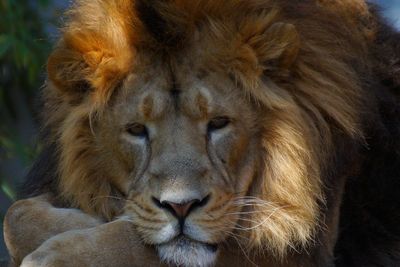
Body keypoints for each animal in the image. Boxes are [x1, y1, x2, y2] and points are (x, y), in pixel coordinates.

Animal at [3, 0, 400, 266]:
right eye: (136, 130)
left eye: (219, 123)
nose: (181, 207)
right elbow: (15, 214)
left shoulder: (303, 249)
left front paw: (63, 253)